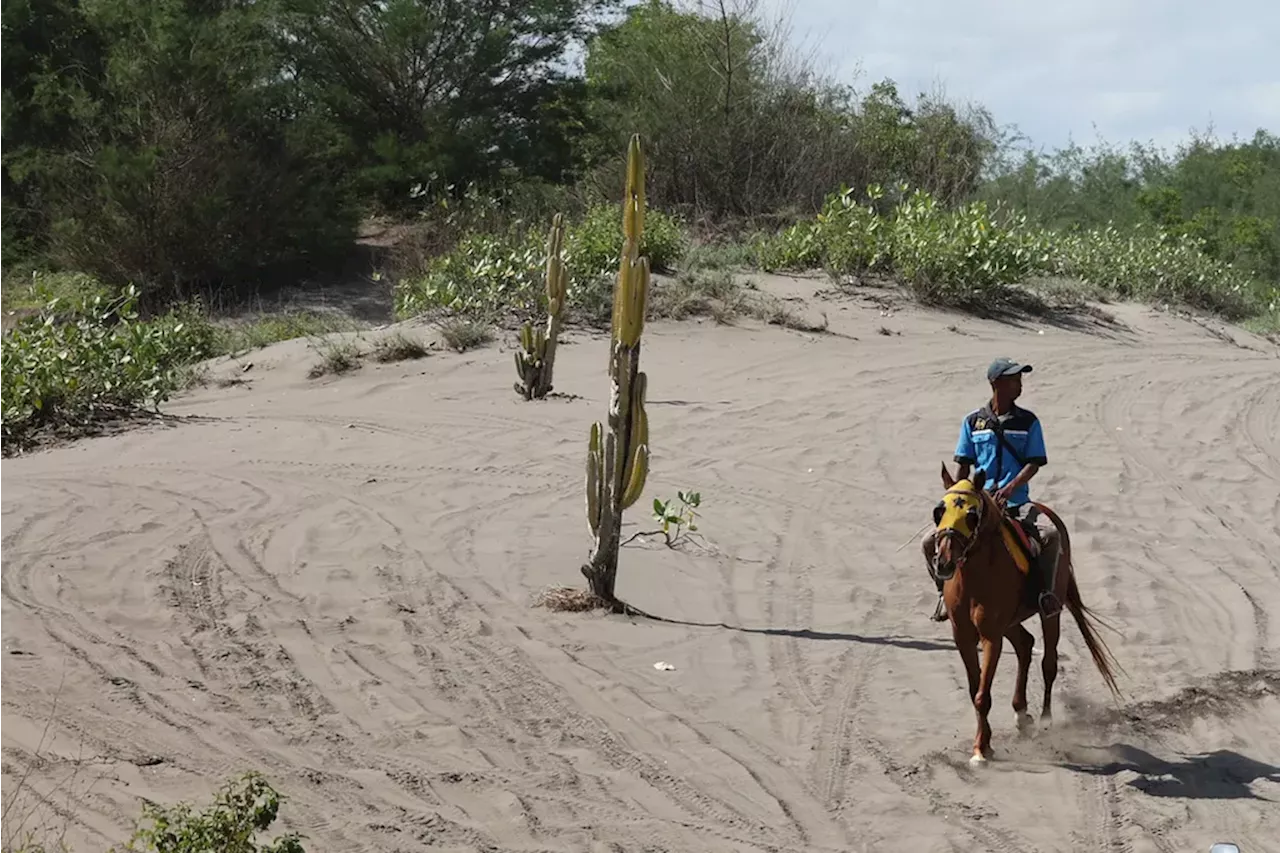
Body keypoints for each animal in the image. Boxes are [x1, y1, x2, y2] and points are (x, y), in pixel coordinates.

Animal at [931, 466, 1121, 763]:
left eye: (971, 515)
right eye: (939, 512)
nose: (944, 562)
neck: (975, 576)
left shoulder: (991, 636)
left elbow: (982, 696)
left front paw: (981, 750)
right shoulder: (963, 636)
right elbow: (976, 690)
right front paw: (984, 741)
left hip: (1049, 613)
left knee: (1048, 663)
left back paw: (1045, 720)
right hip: (1009, 622)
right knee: (1024, 644)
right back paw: (1021, 713)